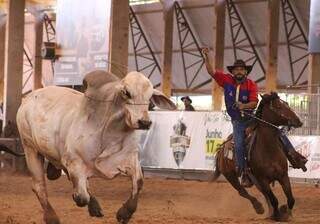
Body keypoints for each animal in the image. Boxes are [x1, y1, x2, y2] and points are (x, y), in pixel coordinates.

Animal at [16, 70, 176, 224]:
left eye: (150, 97)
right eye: (126, 92)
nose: (144, 122)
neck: (109, 132)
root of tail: (29, 98)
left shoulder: (129, 159)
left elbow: (139, 182)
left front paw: (124, 213)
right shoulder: (74, 161)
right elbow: (81, 197)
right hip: (30, 148)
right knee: (39, 186)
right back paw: (52, 218)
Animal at [212, 92, 302, 221]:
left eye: (287, 104)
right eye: (278, 106)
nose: (298, 121)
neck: (268, 149)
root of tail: (222, 148)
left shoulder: (283, 176)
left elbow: (291, 199)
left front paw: (286, 213)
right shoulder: (262, 179)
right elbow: (274, 200)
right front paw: (277, 215)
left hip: (255, 181)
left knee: (264, 195)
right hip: (231, 176)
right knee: (242, 192)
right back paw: (259, 207)